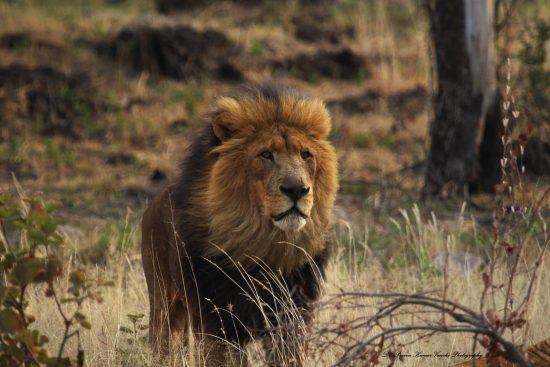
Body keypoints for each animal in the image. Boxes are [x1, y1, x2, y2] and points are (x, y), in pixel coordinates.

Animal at [141, 82, 340, 366]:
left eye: (305, 155)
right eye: (266, 155)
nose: (297, 190)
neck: (264, 245)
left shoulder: (292, 317)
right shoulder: (218, 324)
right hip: (163, 303)